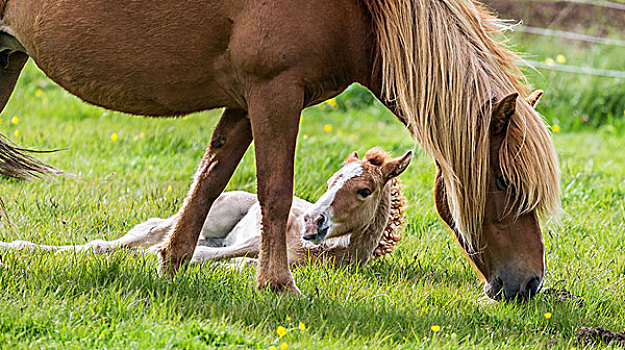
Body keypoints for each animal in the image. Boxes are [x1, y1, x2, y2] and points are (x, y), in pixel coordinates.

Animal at [2, 148, 412, 266]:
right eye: (330, 182)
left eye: (363, 190)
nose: (312, 221)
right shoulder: (253, 242)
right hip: (214, 216)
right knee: (128, 239)